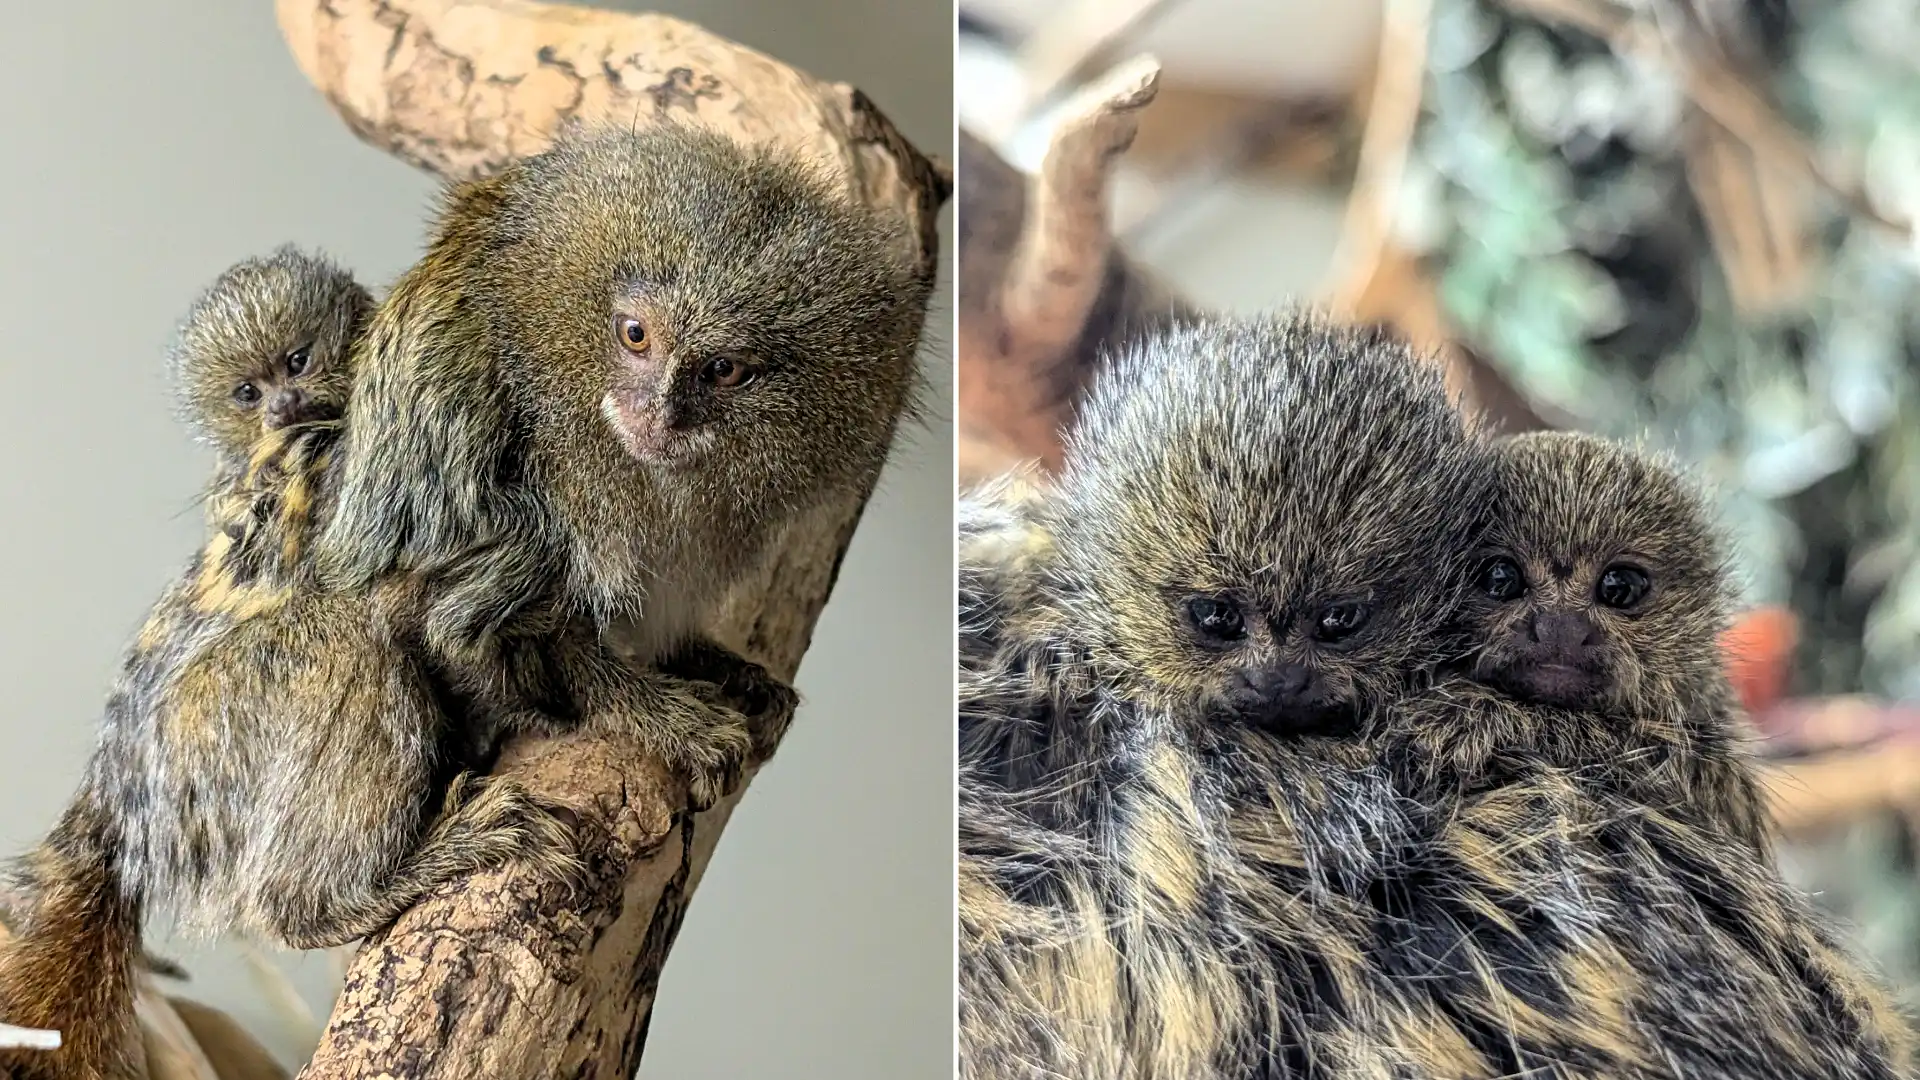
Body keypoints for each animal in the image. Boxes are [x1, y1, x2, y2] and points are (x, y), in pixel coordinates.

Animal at [1, 122, 928, 1080]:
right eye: (635, 336)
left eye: (725, 370)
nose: (659, 410)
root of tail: (118, 791)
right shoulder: (473, 465)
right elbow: (466, 624)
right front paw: (649, 713)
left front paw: (714, 666)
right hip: (210, 736)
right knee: (350, 654)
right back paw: (356, 891)